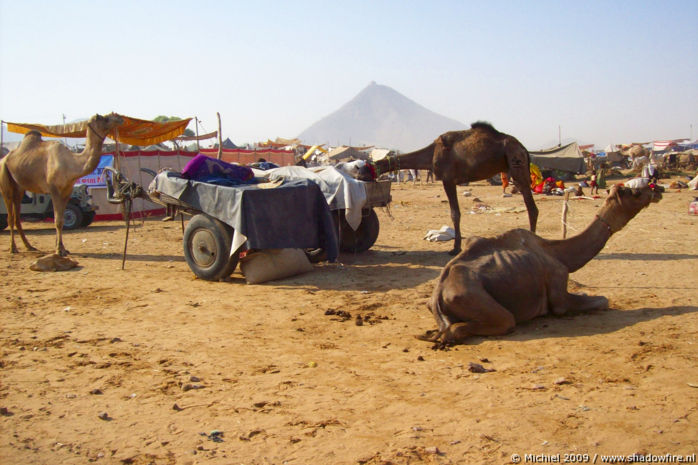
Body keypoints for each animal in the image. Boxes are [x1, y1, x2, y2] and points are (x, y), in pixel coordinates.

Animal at [0, 113, 123, 256]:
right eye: (102, 117)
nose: (119, 118)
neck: (71, 163)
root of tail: (4, 158)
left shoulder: (67, 191)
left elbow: (62, 219)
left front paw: (62, 247)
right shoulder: (54, 190)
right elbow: (58, 220)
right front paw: (59, 250)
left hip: (19, 187)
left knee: (17, 216)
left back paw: (29, 246)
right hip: (5, 180)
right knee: (10, 216)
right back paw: (13, 248)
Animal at [372, 121, 536, 254]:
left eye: (368, 168)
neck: (432, 154)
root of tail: (523, 148)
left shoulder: (448, 179)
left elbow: (454, 214)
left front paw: (455, 248)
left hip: (517, 164)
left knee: (532, 207)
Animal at [418, 182, 664, 344]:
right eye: (635, 192)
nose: (658, 189)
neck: (557, 252)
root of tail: (438, 295)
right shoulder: (558, 283)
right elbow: (600, 300)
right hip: (472, 297)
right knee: (490, 323)